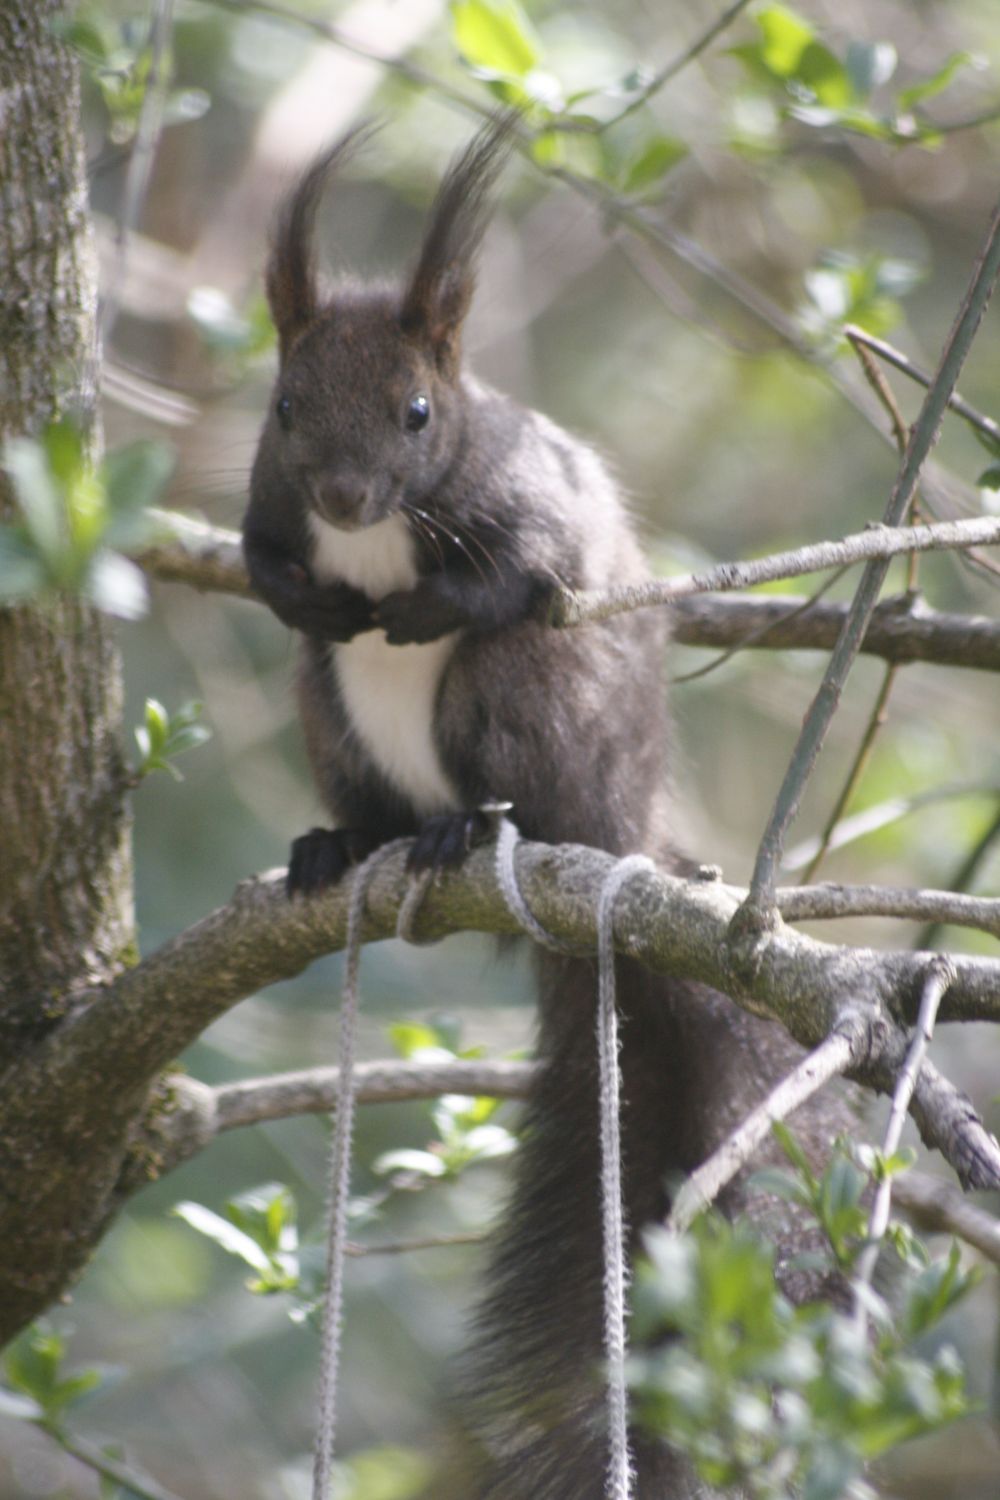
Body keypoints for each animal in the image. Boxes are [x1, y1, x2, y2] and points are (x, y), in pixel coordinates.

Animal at [242, 117, 839, 1500]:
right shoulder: (261, 494)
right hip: (326, 715)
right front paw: (311, 595)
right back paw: (340, 841)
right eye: (286, 407)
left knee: (511, 752)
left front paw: (420, 606)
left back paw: (468, 828)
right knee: (350, 763)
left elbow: (525, 575)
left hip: (521, 709)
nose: (344, 501)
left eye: (418, 412)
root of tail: (620, 822)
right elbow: (255, 561)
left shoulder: (529, 511)